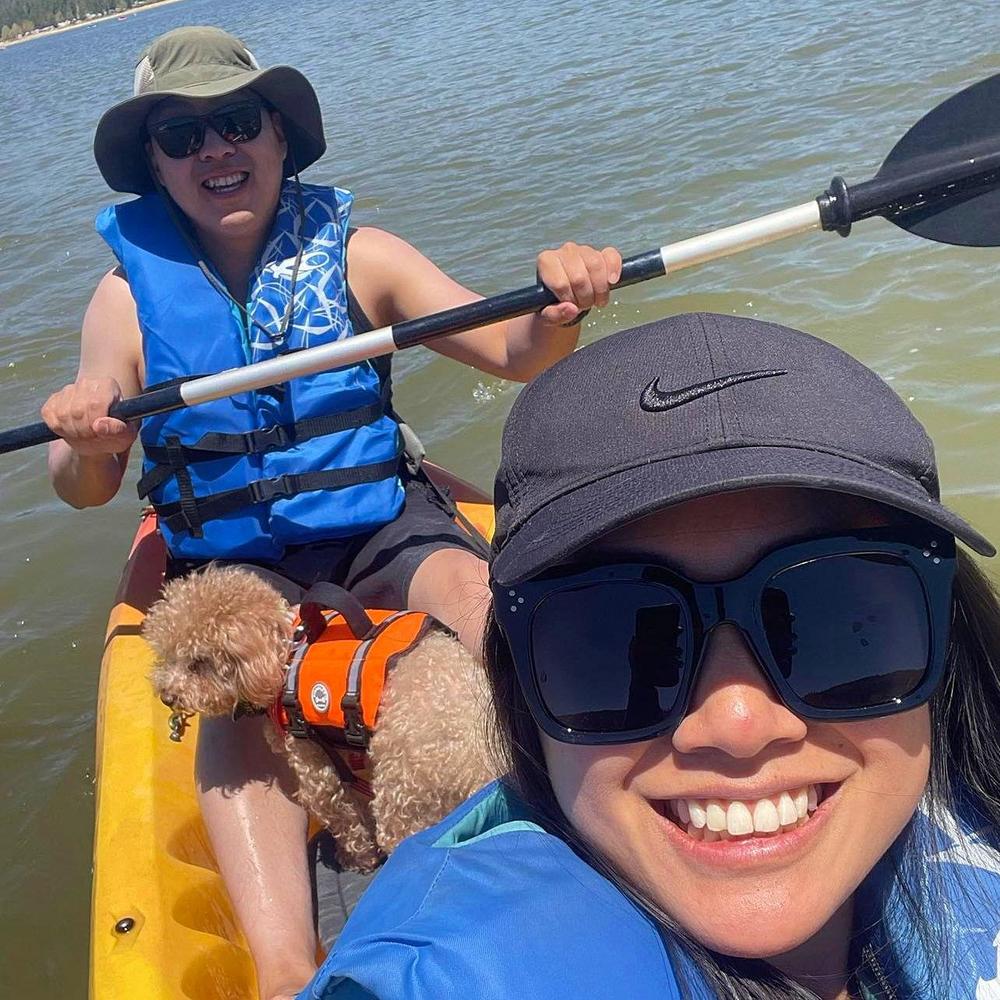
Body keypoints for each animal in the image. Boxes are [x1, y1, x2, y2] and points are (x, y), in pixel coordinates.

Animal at [143, 564, 495, 872]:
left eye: (198, 663)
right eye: (168, 655)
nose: (167, 696)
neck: (287, 651)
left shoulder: (314, 766)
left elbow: (342, 817)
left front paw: (356, 858)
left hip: (405, 801)